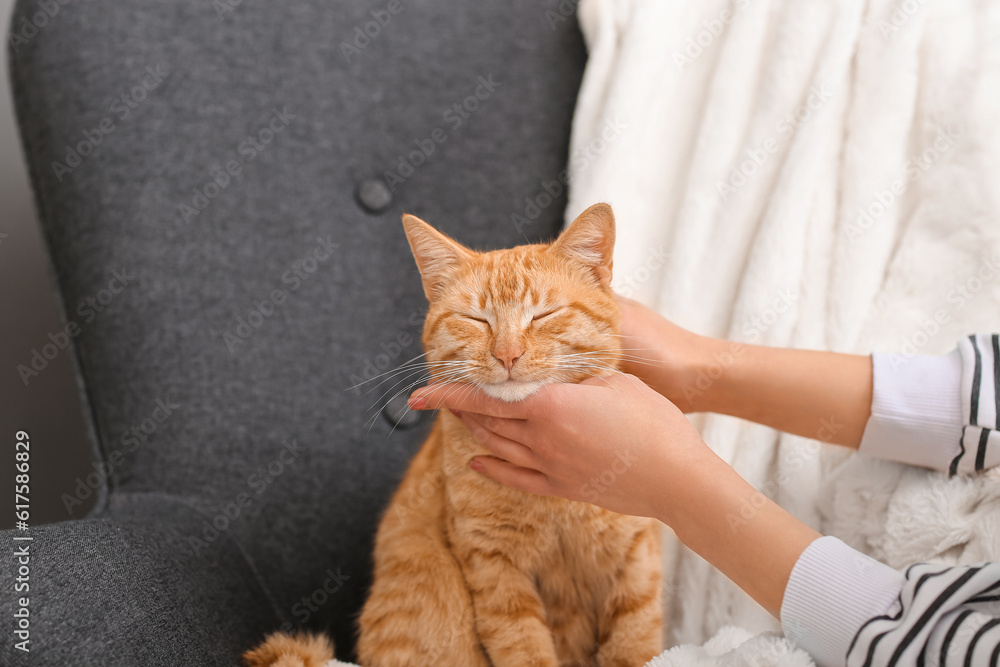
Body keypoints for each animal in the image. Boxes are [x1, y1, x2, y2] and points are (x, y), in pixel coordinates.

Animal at [245, 204, 660, 667]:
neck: (552, 500)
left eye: (543, 315)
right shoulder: (493, 565)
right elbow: (524, 647)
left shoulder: (636, 559)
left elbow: (636, 641)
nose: (507, 354)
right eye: (476, 320)